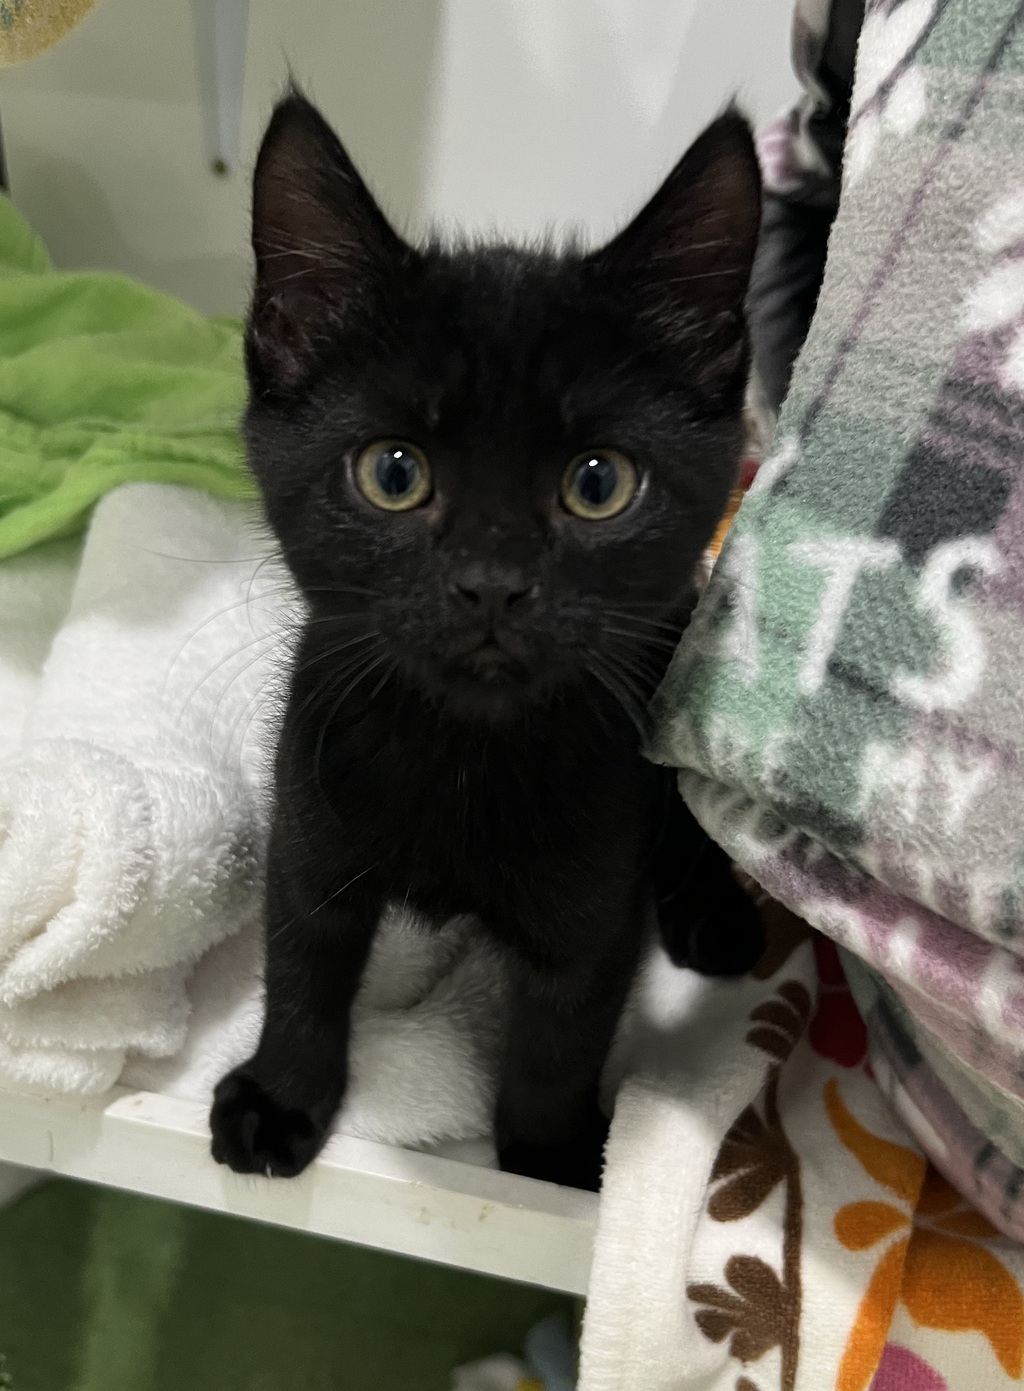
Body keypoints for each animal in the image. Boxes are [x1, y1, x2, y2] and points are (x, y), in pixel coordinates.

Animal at [209, 91, 765, 1191]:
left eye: (598, 483)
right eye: (394, 472)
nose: (493, 584)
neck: (464, 754)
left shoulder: (595, 893)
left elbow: (562, 1034)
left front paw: (549, 1159)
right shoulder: (309, 812)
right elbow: (302, 959)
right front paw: (281, 1094)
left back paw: (711, 914)